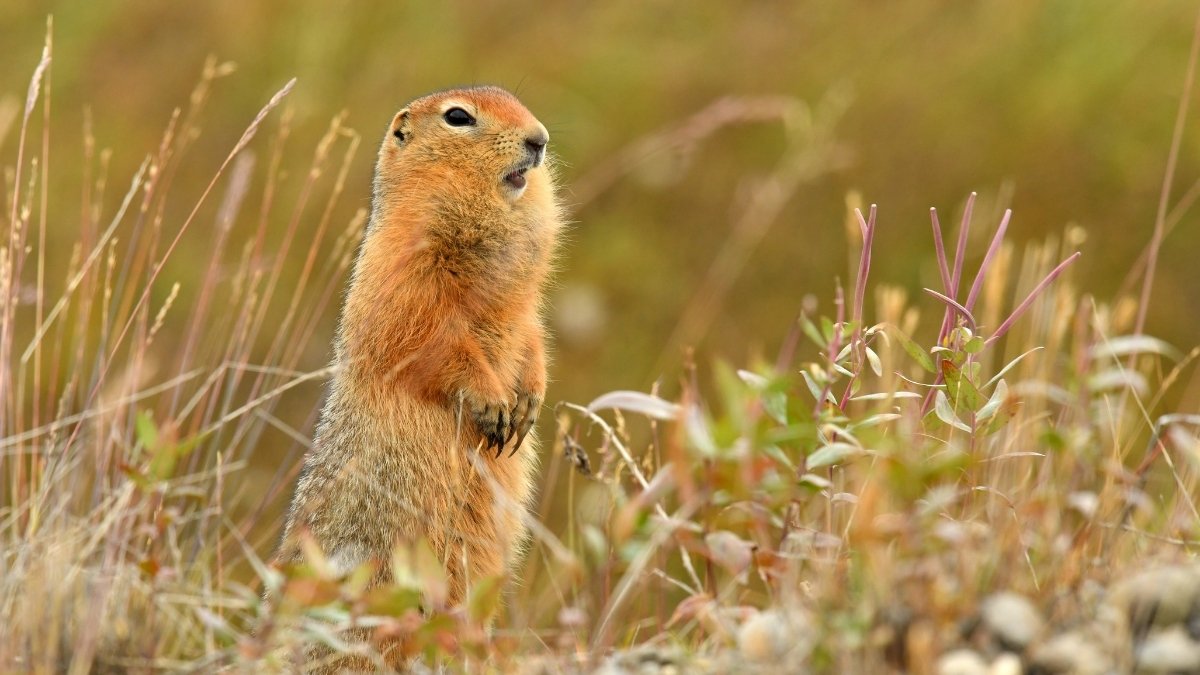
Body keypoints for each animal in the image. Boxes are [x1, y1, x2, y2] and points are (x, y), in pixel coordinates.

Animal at [275, 85, 562, 647]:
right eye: (458, 117)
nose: (539, 139)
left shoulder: (524, 309)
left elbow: (533, 337)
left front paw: (528, 402)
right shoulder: (406, 279)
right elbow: (434, 342)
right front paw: (493, 404)